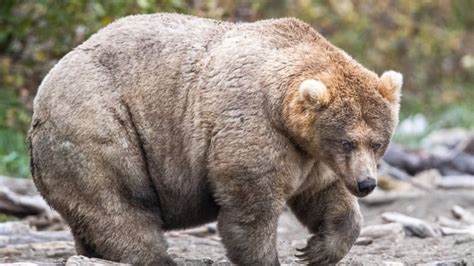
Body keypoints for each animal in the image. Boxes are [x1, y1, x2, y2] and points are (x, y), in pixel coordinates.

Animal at [27, 13, 402, 264]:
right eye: (347, 141)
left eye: (377, 142)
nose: (366, 183)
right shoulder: (254, 126)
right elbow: (251, 207)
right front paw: (268, 257)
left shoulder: (311, 155)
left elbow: (325, 196)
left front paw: (316, 249)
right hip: (99, 124)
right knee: (119, 204)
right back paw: (154, 257)